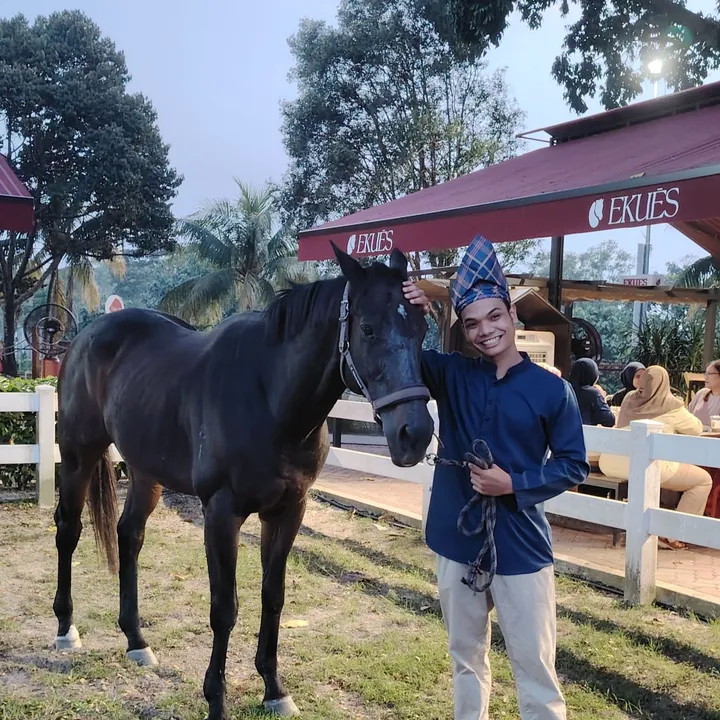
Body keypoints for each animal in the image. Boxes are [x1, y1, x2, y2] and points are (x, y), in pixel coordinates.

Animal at [51, 245, 434, 720]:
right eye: (367, 328)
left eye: (421, 328)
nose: (414, 434)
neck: (270, 396)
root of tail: (85, 335)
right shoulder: (221, 513)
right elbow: (224, 608)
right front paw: (216, 699)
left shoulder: (288, 511)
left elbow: (273, 596)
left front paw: (274, 688)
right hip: (77, 454)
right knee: (68, 530)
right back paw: (66, 629)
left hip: (145, 472)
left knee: (129, 534)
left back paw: (136, 641)